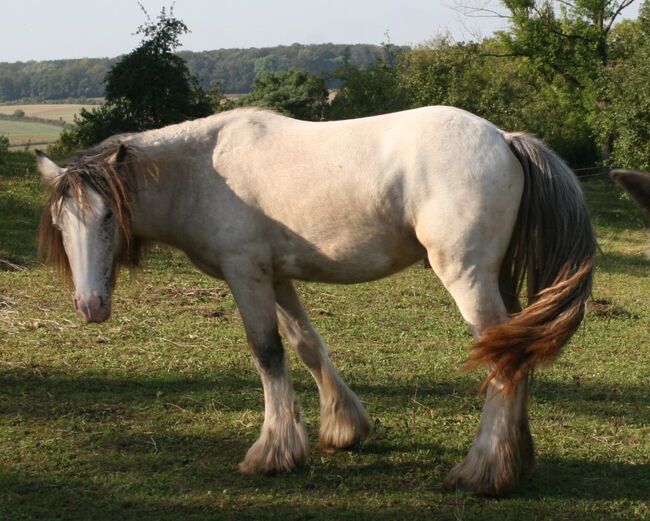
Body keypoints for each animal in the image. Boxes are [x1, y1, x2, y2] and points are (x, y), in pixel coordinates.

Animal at [34, 105, 592, 496]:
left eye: (109, 216)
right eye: (62, 222)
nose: (89, 305)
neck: (200, 172)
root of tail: (505, 139)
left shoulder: (245, 274)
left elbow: (267, 352)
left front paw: (272, 452)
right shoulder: (277, 277)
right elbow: (307, 344)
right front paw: (344, 427)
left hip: (467, 277)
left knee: (504, 359)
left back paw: (483, 471)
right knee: (517, 350)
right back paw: (514, 459)